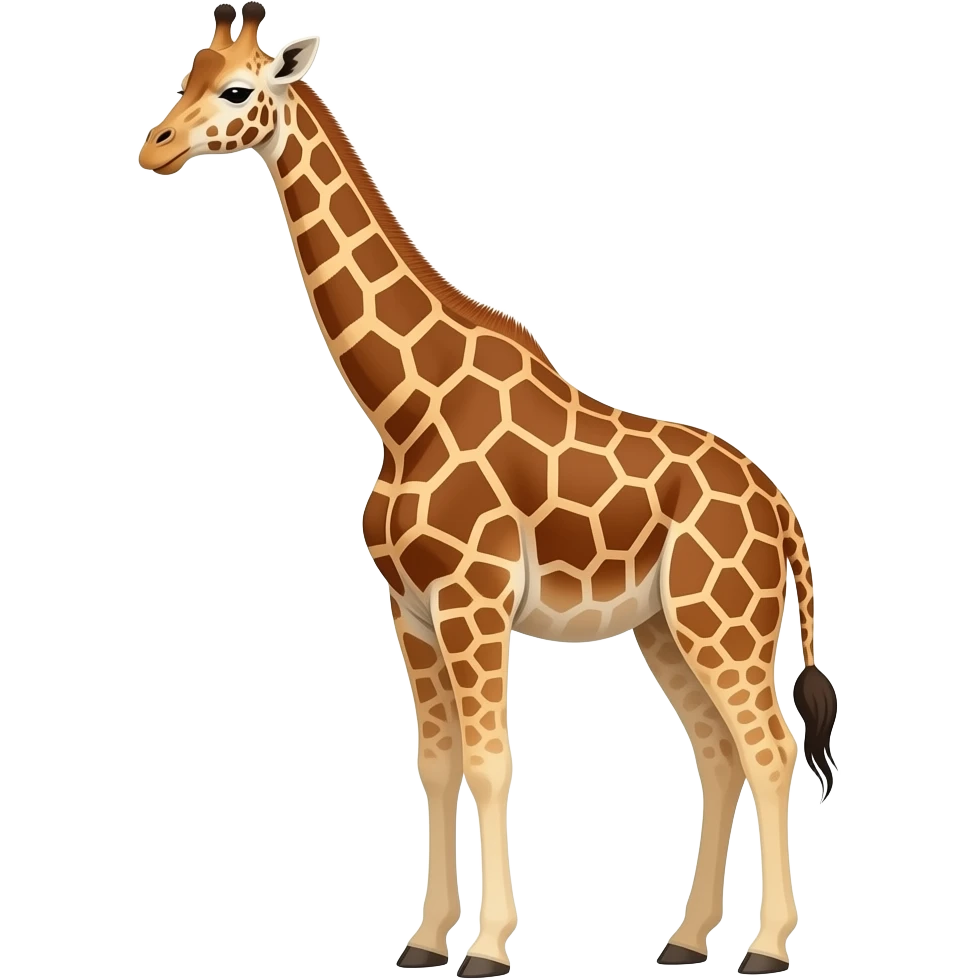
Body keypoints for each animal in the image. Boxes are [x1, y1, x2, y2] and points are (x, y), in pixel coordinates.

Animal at [138, 5, 839, 975]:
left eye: (239, 88)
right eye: (187, 74)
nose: (154, 147)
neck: (403, 408)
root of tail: (781, 510)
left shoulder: (473, 601)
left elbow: (488, 759)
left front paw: (489, 947)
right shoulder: (409, 608)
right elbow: (433, 763)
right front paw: (425, 939)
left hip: (720, 619)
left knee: (767, 747)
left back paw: (765, 946)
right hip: (665, 625)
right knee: (717, 751)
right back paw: (686, 938)